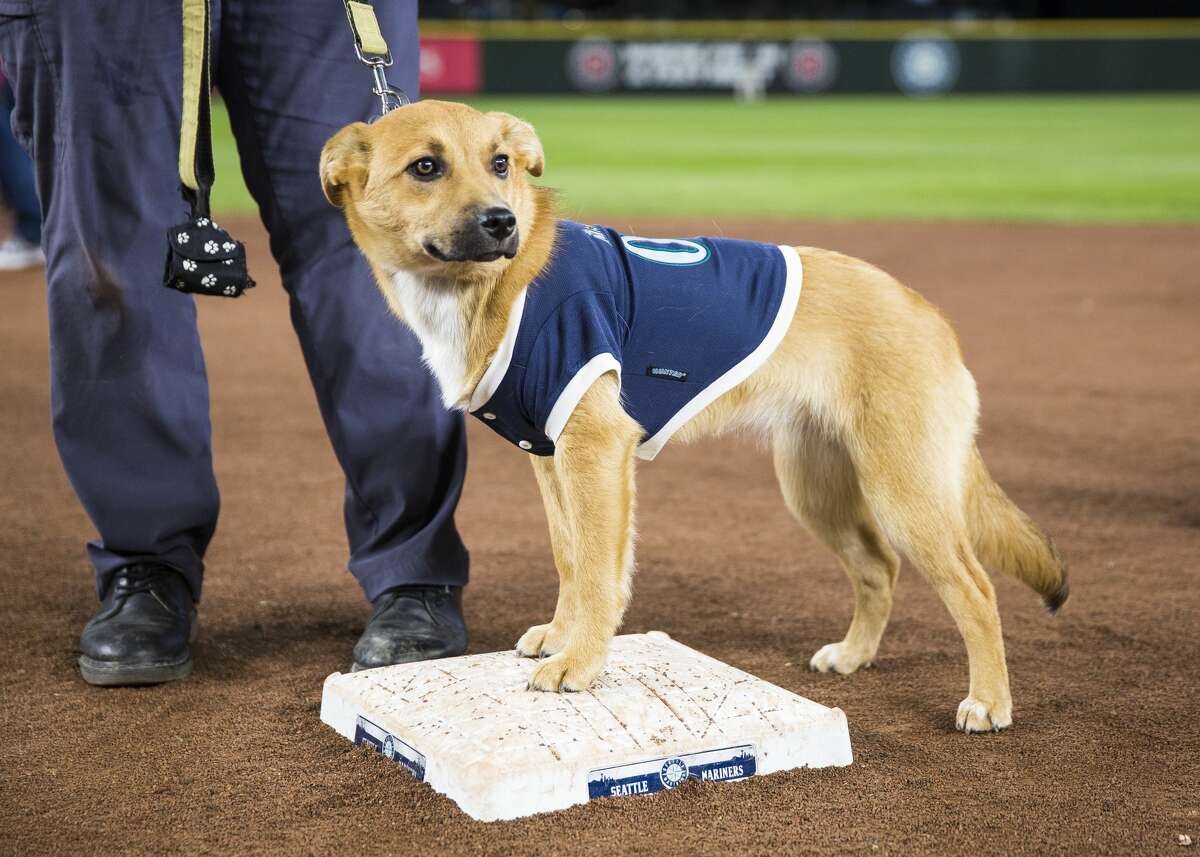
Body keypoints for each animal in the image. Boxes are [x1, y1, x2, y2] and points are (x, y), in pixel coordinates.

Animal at [321, 98, 1070, 729]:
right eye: (426, 166)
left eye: (499, 163)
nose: (501, 221)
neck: (501, 286)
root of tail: (926, 310)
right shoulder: (551, 456)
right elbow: (570, 557)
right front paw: (562, 637)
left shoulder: (597, 447)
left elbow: (598, 569)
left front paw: (580, 661)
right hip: (817, 488)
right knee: (878, 568)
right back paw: (855, 655)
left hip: (904, 490)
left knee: (975, 589)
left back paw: (989, 701)